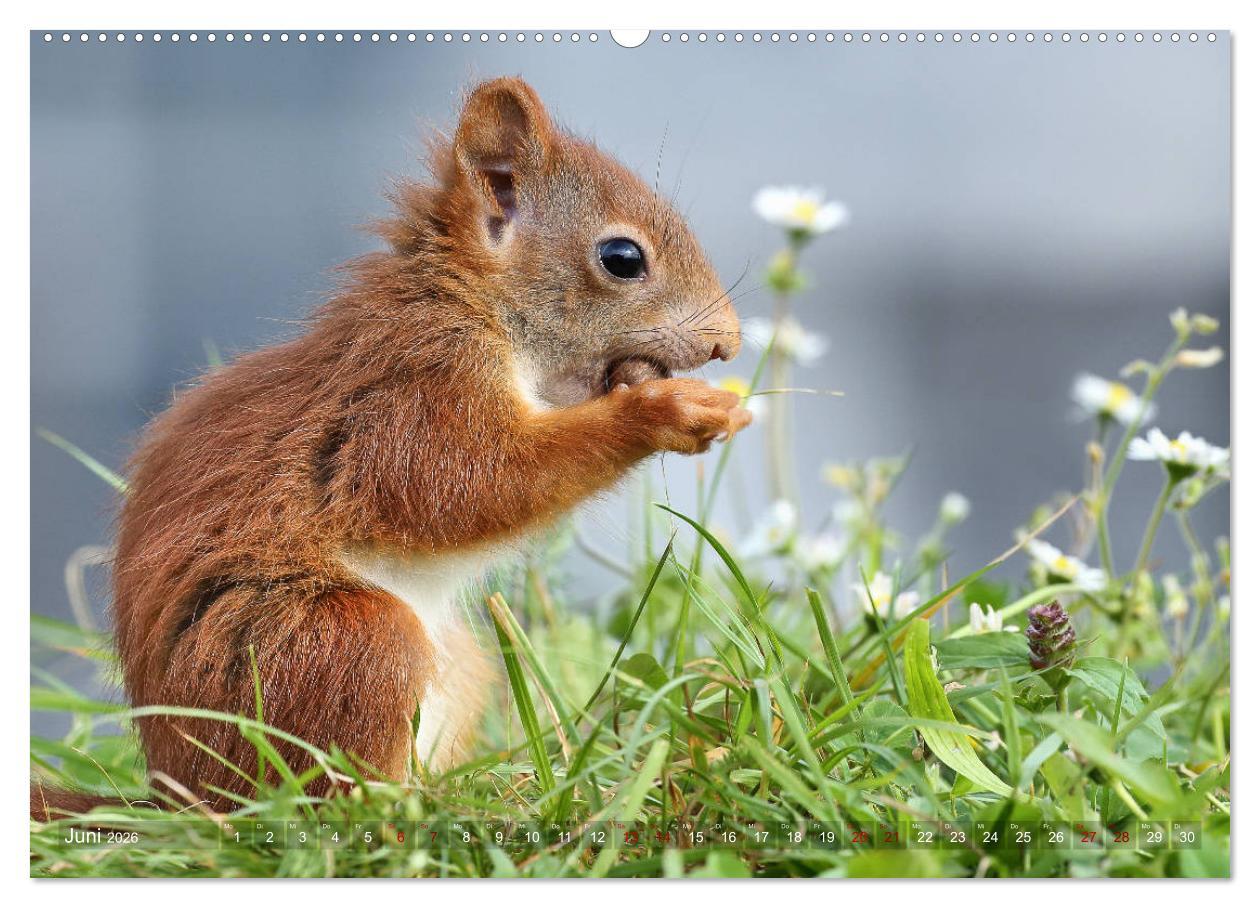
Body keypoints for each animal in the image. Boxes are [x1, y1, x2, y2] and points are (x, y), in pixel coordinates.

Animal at [32, 77, 749, 819]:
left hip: (458, 665)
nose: (727, 342)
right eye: (622, 258)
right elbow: (464, 485)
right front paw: (658, 410)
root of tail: (176, 795)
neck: (474, 305)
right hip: (336, 647)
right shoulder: (415, 391)